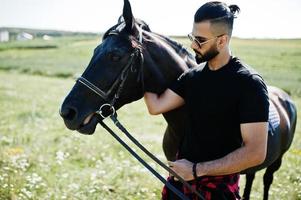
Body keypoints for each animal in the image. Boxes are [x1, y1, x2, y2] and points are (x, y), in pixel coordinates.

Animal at [59, 0, 296, 199]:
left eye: (115, 56)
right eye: (96, 51)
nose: (67, 112)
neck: (182, 125)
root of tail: (285, 97)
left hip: (276, 163)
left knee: (266, 180)